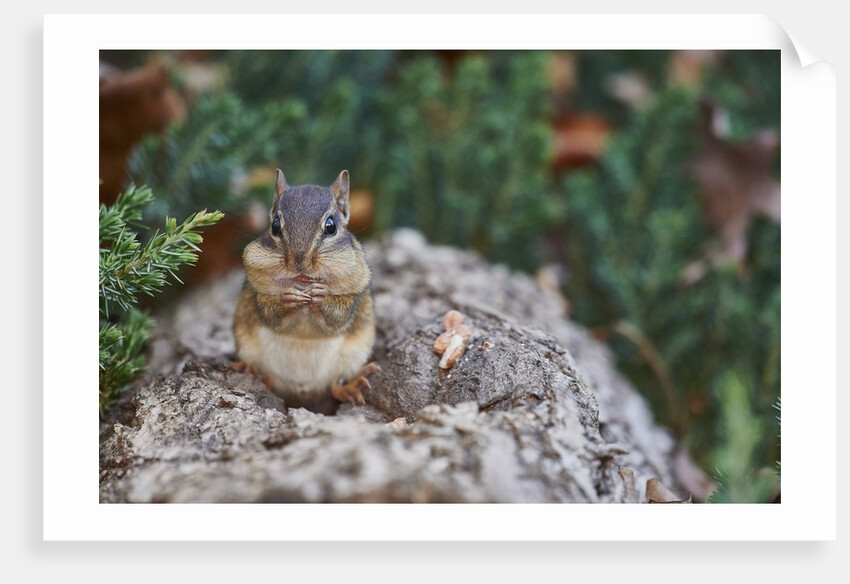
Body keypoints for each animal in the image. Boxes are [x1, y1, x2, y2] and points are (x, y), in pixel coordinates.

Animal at [233, 169, 379, 413]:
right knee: (270, 380)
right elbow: (270, 312)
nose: (299, 261)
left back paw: (352, 386)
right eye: (275, 225)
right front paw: (289, 297)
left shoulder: (354, 293)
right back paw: (253, 373)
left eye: (331, 226)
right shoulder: (256, 291)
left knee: (335, 386)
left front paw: (320, 295)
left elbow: (338, 316)